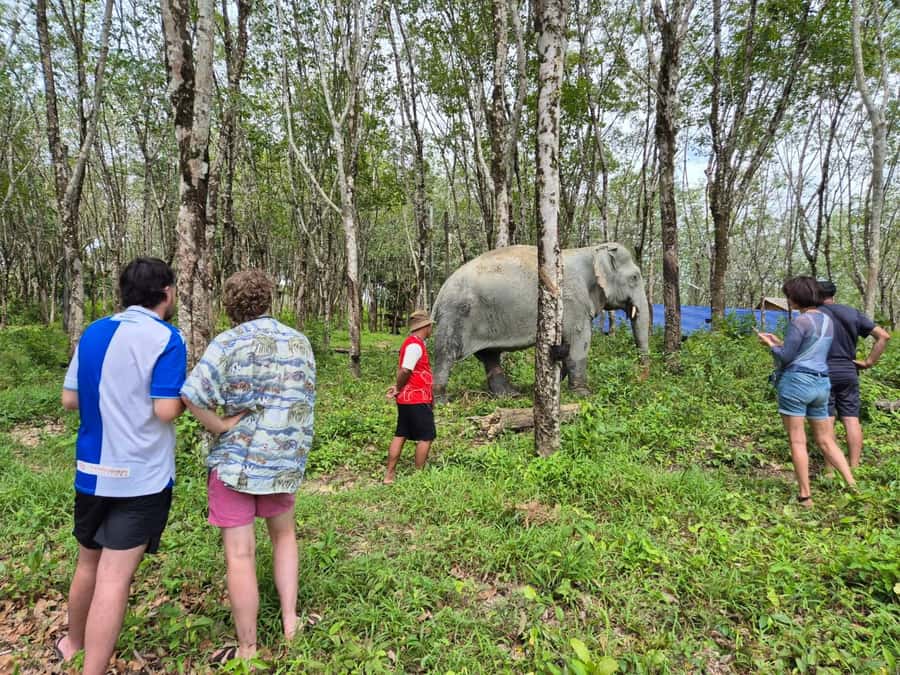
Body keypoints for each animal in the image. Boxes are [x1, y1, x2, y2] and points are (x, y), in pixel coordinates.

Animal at [430, 243, 650, 402]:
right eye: (635, 277)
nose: (640, 379)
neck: (591, 249)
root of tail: (440, 294)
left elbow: (565, 344)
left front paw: (555, 385)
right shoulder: (571, 301)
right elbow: (579, 341)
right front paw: (583, 395)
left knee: (489, 356)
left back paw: (510, 395)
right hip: (455, 313)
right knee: (446, 353)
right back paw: (441, 401)